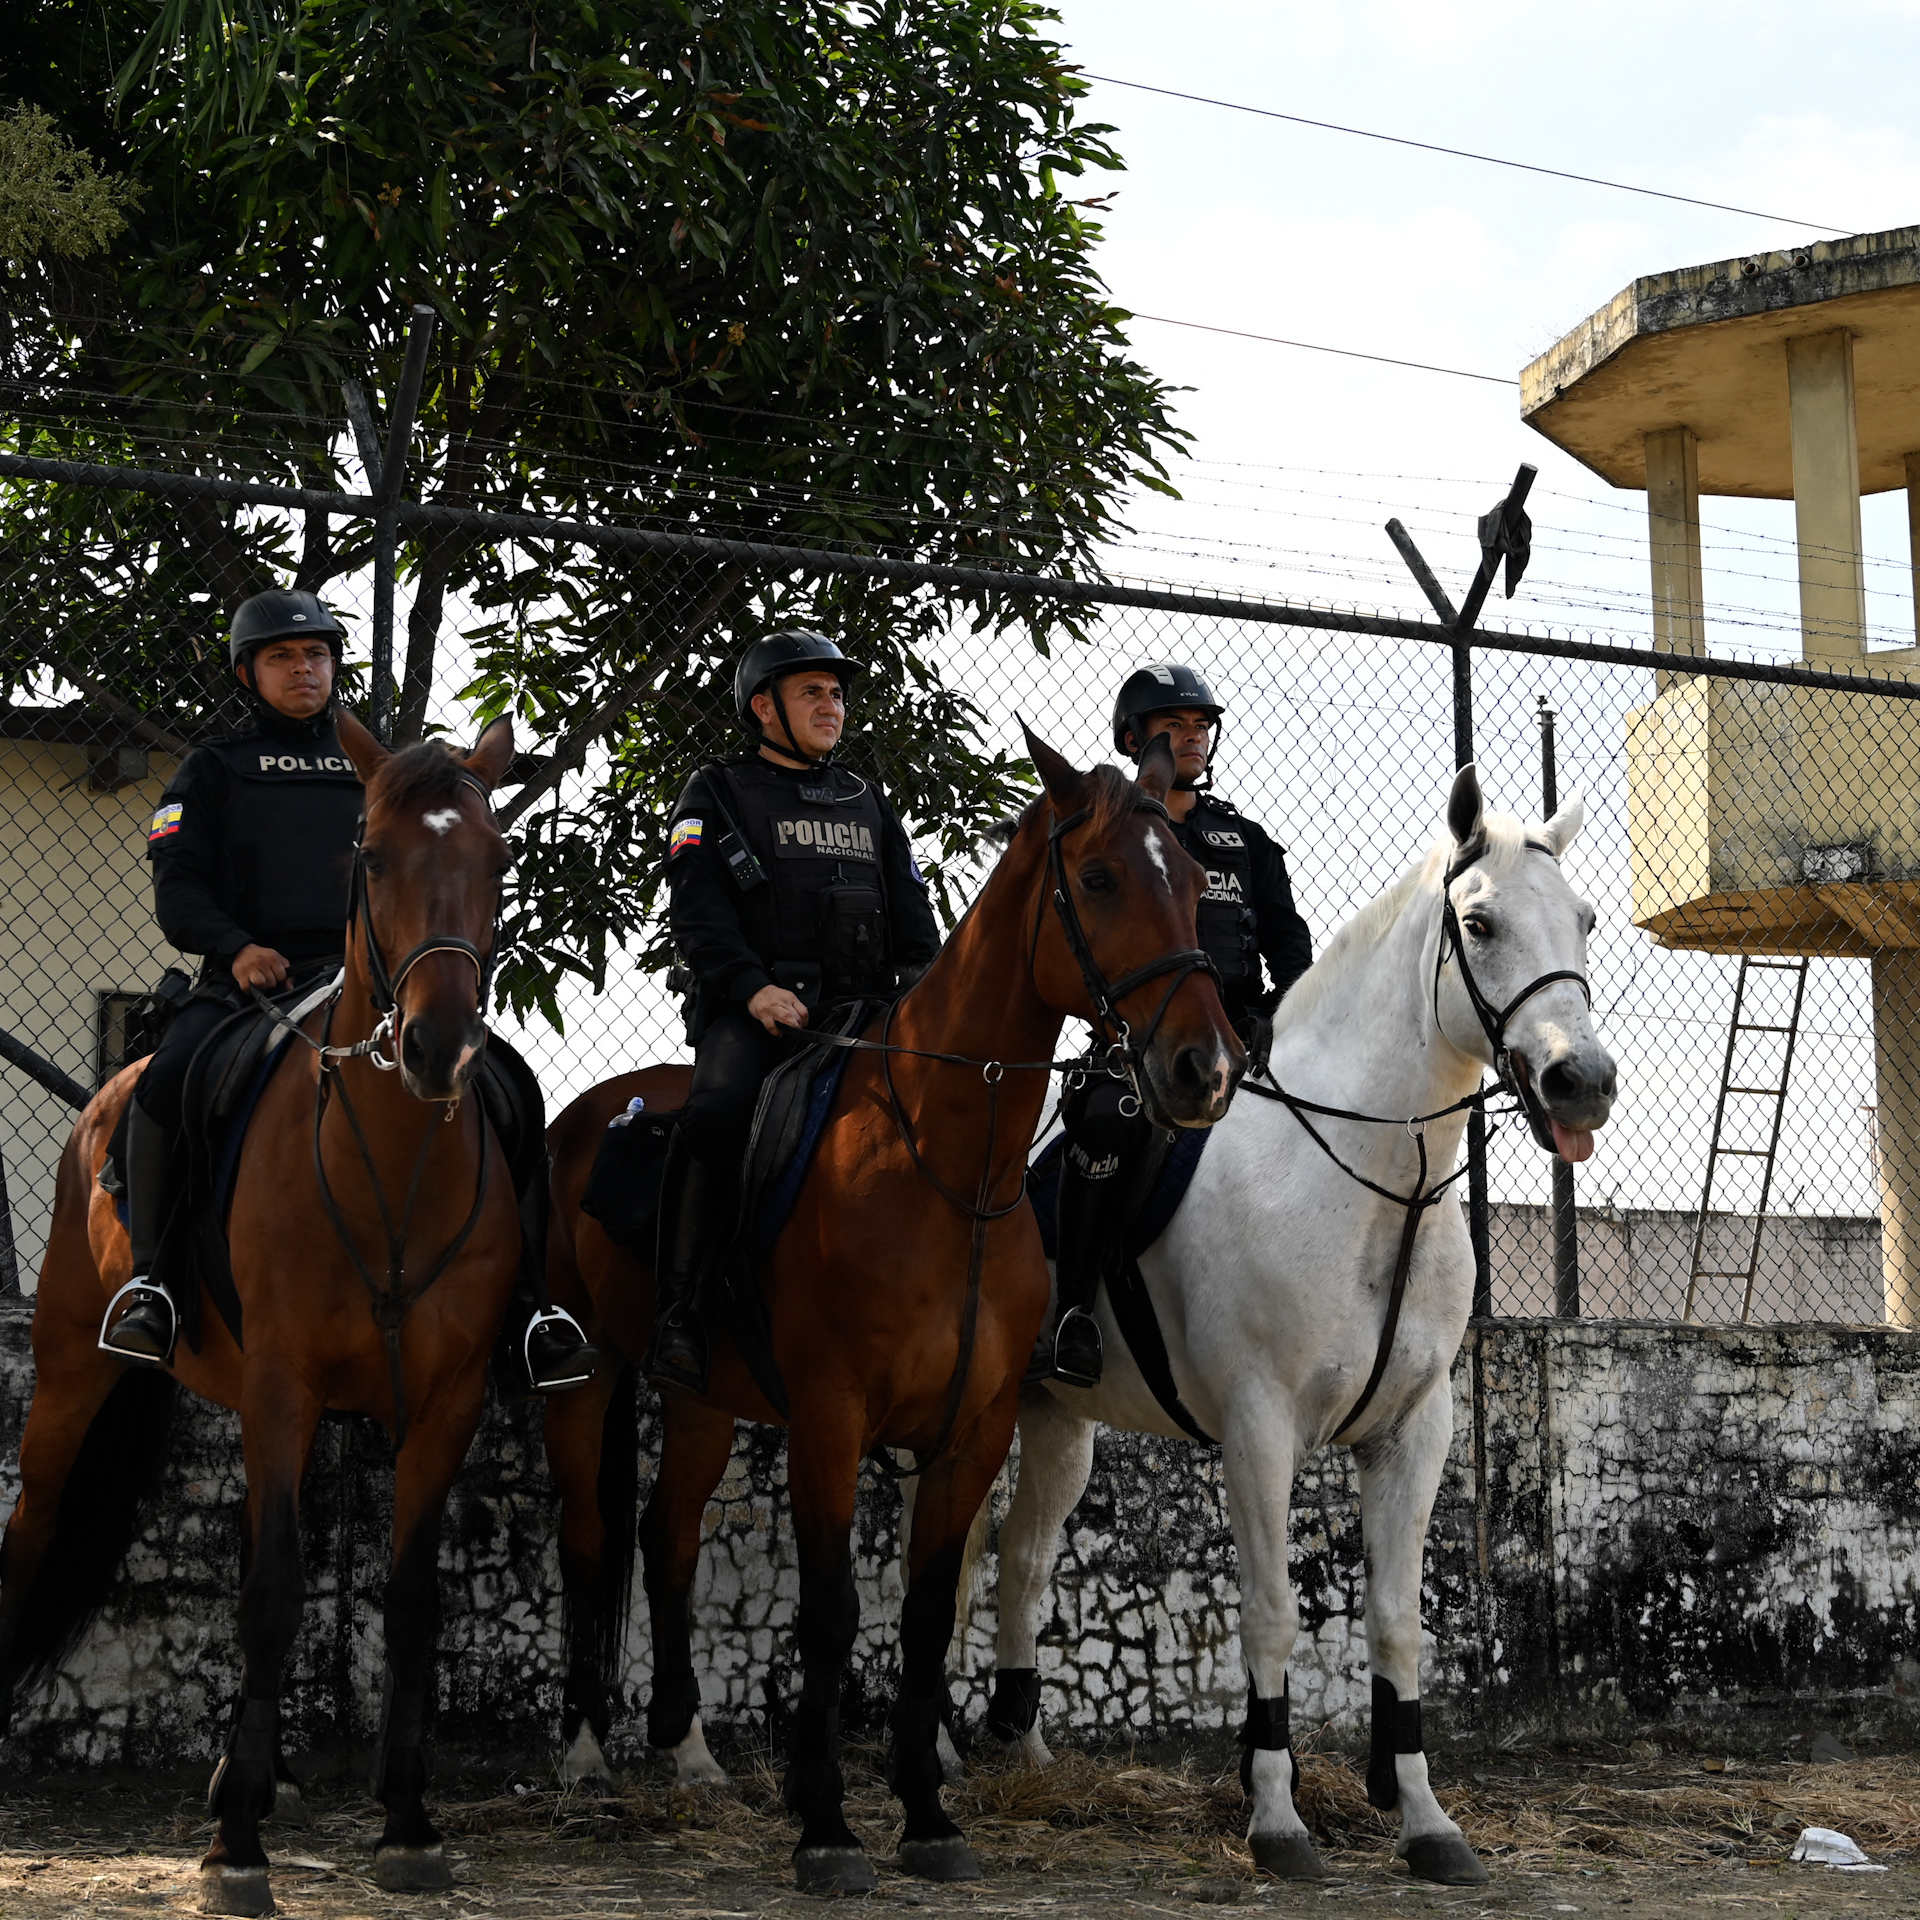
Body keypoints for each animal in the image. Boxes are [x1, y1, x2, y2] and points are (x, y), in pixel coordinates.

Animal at [0, 714, 526, 1912]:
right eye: (369, 857)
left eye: (494, 862)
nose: (439, 1047)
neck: (392, 1170)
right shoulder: (285, 1385)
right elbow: (280, 1594)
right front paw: (235, 1848)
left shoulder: (445, 1400)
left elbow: (408, 1599)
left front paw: (405, 1822)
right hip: (71, 1374)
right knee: (33, 1526)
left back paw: (256, 1775)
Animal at [541, 729, 1244, 1889]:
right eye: (1100, 879)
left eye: (1192, 882)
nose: (1207, 1069)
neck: (946, 1166)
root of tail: (592, 1112)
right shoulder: (832, 1421)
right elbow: (831, 1616)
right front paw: (826, 1825)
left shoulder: (973, 1429)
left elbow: (922, 1612)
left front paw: (925, 1813)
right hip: (587, 1375)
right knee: (589, 1537)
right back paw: (588, 1753)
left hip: (702, 1399)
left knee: (667, 1536)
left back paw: (687, 1751)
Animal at [975, 764, 1620, 1873]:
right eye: (1480, 924)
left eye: (1582, 918)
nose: (1583, 1082)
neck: (1368, 1183)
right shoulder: (1260, 1428)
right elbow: (1272, 1616)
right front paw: (1275, 1815)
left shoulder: (1414, 1432)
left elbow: (1398, 1622)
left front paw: (1423, 1818)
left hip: (1057, 1421)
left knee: (1018, 1561)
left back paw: (1023, 1749)